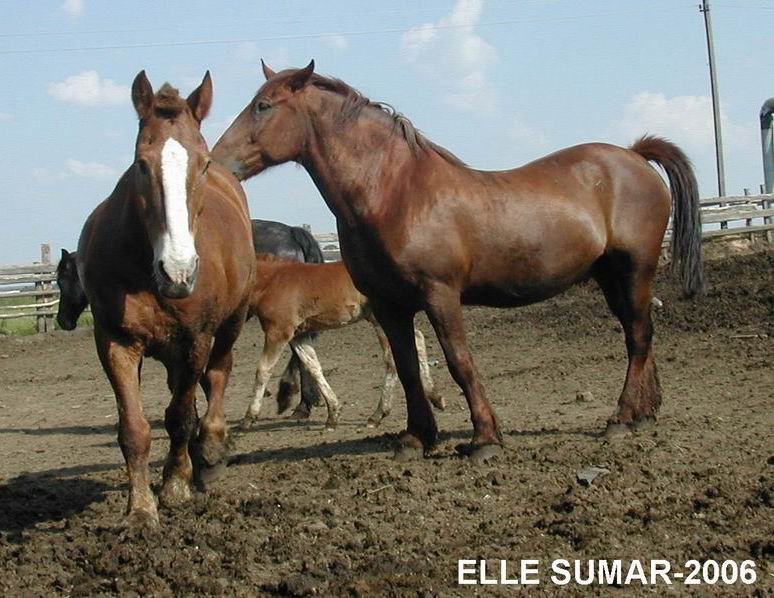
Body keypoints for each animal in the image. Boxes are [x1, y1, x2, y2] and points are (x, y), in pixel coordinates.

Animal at [77, 72, 253, 528]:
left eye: (203, 163)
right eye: (142, 163)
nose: (179, 270)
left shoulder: (196, 340)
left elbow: (178, 417)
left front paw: (175, 486)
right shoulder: (115, 342)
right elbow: (135, 428)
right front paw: (140, 508)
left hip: (231, 324)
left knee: (216, 377)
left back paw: (209, 451)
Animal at [211, 61, 704, 464]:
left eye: (263, 106)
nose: (215, 163)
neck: (396, 193)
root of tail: (635, 155)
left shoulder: (440, 294)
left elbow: (458, 361)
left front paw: (484, 439)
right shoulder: (389, 305)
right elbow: (408, 367)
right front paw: (415, 438)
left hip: (635, 270)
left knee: (638, 336)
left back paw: (621, 418)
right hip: (611, 277)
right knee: (639, 334)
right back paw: (645, 413)